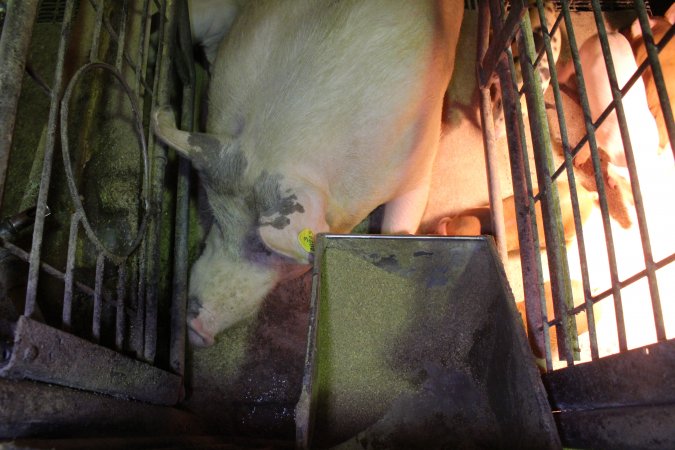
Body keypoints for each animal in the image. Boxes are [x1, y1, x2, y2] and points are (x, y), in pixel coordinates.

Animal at [560, 31, 660, 186]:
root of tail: (611, 34)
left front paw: (612, 184)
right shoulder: (602, 132)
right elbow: (589, 145)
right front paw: (578, 164)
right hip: (584, 53)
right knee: (569, 67)